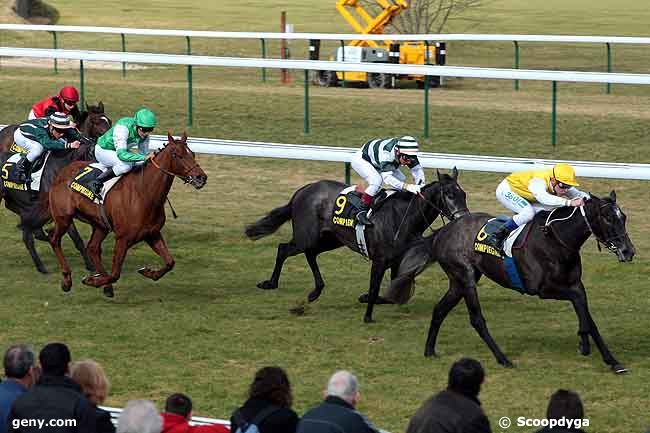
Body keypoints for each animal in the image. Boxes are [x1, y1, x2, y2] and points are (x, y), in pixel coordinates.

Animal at [47, 132, 206, 296]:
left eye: (193, 154)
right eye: (178, 155)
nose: (201, 177)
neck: (144, 194)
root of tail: (62, 171)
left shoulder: (152, 234)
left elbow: (170, 262)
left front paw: (149, 272)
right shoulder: (123, 238)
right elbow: (115, 274)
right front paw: (91, 280)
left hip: (100, 225)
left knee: (92, 248)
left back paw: (105, 285)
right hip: (63, 218)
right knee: (54, 238)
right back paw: (67, 279)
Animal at [246, 168, 468, 320]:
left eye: (463, 194)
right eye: (449, 195)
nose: (463, 218)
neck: (402, 217)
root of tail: (303, 190)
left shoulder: (397, 261)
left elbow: (388, 294)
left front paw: (366, 298)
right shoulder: (379, 260)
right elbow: (375, 286)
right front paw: (368, 315)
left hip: (332, 239)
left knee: (311, 254)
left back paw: (315, 291)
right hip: (305, 236)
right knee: (284, 249)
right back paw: (271, 283)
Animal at [384, 191, 632, 372]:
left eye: (624, 217)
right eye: (608, 218)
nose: (628, 251)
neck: (556, 239)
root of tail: (443, 231)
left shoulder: (575, 284)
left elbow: (588, 316)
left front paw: (610, 359)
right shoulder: (543, 289)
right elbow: (579, 304)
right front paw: (585, 344)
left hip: (458, 282)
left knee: (439, 310)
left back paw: (429, 350)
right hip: (465, 277)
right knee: (477, 320)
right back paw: (503, 358)